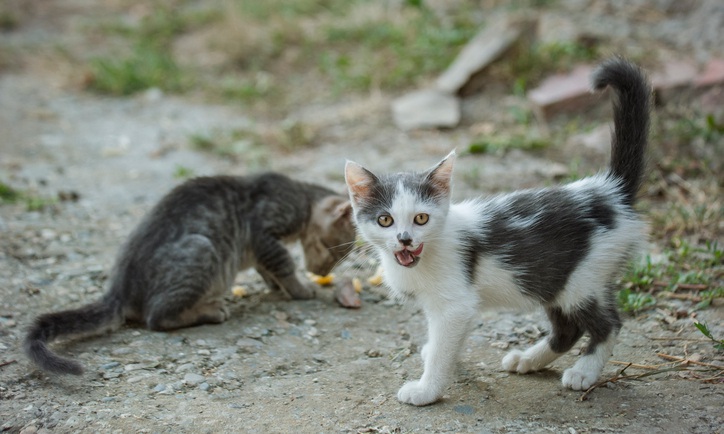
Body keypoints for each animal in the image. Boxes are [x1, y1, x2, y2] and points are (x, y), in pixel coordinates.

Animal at [26, 173, 354, 376]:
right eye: (333, 251)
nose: (322, 271)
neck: (302, 197)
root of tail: (120, 289)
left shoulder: (260, 250)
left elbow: (268, 269)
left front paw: (277, 288)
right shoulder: (264, 233)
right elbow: (284, 264)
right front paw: (300, 289)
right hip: (201, 249)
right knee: (157, 317)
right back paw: (210, 311)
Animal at [346, 58, 652, 406]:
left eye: (421, 218)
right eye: (385, 220)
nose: (405, 239)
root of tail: (610, 191)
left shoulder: (455, 304)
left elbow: (443, 347)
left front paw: (426, 389)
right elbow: (444, 341)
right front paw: (433, 358)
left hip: (583, 278)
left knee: (607, 323)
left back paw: (584, 372)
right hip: (553, 278)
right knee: (567, 328)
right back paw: (528, 360)